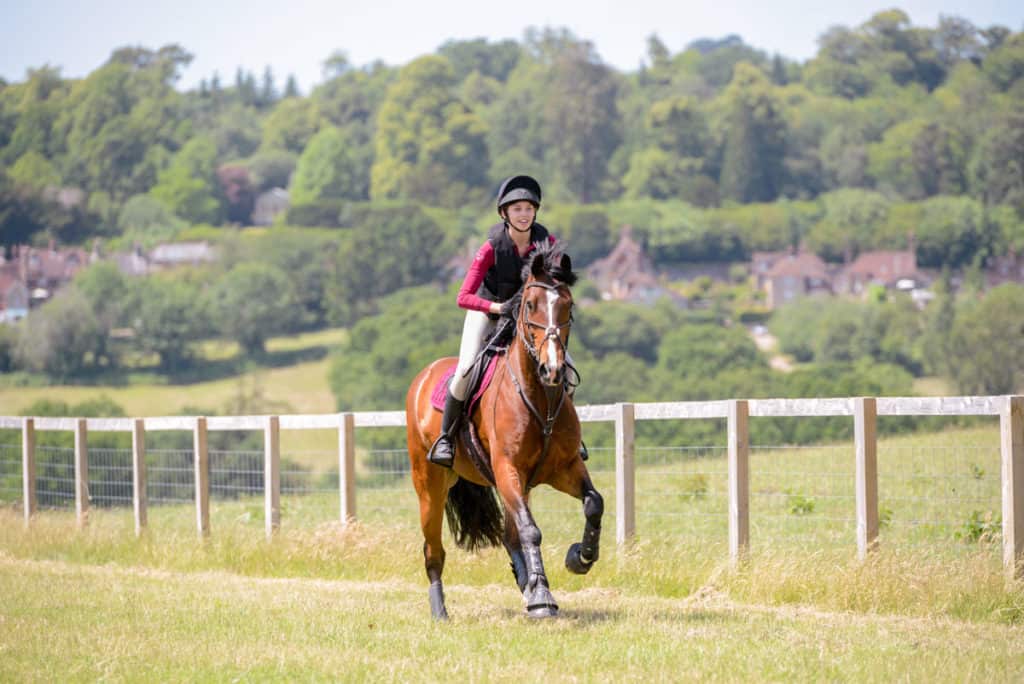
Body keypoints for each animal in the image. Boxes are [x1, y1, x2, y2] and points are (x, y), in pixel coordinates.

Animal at [403, 244, 602, 618]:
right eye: (530, 305)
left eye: (568, 306)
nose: (552, 369)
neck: (540, 397)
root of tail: (424, 376)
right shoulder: (508, 467)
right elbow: (531, 531)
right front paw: (543, 598)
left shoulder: (564, 469)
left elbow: (593, 503)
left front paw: (580, 557)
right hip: (430, 485)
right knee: (433, 549)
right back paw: (440, 610)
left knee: (511, 536)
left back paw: (527, 584)